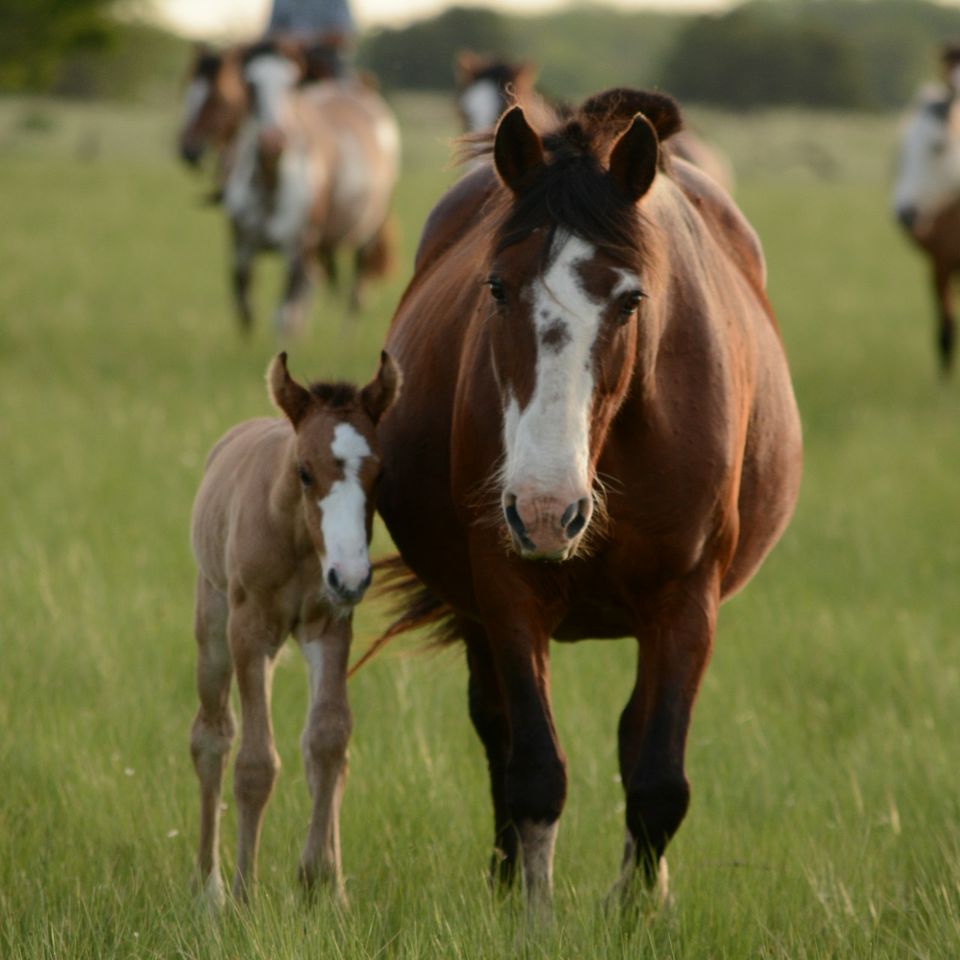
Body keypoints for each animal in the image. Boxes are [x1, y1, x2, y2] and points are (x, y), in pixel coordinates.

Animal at [189, 351, 401, 906]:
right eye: (305, 471)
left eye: (381, 473)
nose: (351, 575)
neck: (299, 540)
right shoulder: (249, 632)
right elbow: (255, 763)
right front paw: (244, 897)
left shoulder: (330, 626)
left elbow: (327, 739)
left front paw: (322, 883)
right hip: (213, 627)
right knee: (211, 737)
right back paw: (209, 888)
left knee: (316, 746)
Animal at [223, 41, 400, 333]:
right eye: (249, 84)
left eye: (292, 84)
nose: (273, 141)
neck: (271, 185)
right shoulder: (241, 247)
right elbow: (244, 308)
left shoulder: (299, 249)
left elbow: (285, 317)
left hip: (367, 233)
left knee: (355, 293)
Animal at [368, 88, 802, 917]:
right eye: (496, 287)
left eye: (630, 300)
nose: (547, 510)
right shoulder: (505, 591)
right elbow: (535, 768)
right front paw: (530, 915)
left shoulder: (687, 601)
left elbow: (658, 780)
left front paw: (636, 915)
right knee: (498, 730)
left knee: (635, 741)